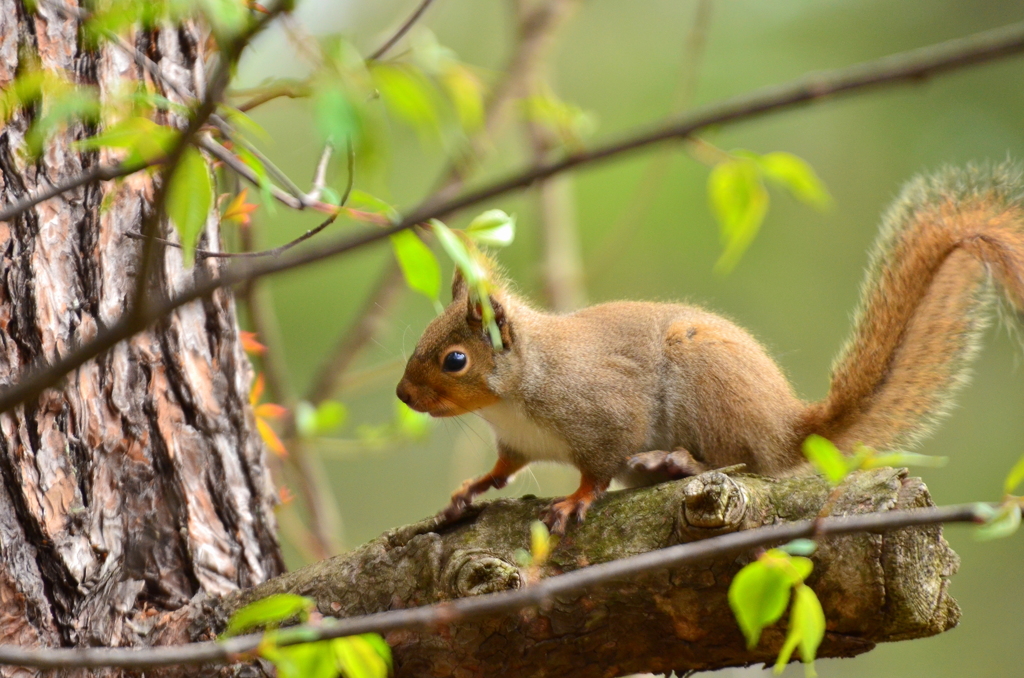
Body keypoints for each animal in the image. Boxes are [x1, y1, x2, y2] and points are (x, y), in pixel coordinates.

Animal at [393, 164, 1024, 536]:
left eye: (455, 360)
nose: (402, 395)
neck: (518, 393)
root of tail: (788, 428)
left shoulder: (603, 411)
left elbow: (598, 467)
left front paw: (575, 500)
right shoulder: (517, 443)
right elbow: (502, 470)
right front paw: (468, 491)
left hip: (708, 389)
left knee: (738, 459)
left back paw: (677, 461)